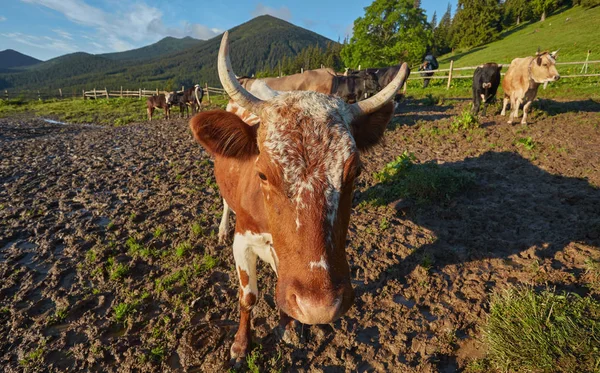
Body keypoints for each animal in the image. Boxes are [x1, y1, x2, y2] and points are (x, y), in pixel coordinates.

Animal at [190, 32, 410, 360]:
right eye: (263, 174)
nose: (319, 308)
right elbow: (248, 297)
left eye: (355, 172)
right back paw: (220, 228)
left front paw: (289, 326)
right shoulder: (243, 242)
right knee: (226, 204)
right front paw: (241, 344)